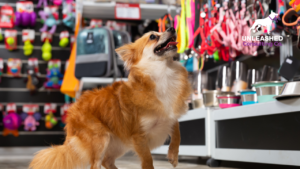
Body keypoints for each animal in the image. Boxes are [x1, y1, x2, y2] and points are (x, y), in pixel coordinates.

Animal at [29, 27, 191, 169]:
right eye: (152, 36)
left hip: (119, 143)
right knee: (96, 164)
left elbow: (177, 129)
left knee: (107, 161)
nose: (171, 28)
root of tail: (71, 114)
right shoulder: (139, 136)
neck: (164, 73)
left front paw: (173, 155)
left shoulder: (169, 115)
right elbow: (147, 160)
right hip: (100, 139)